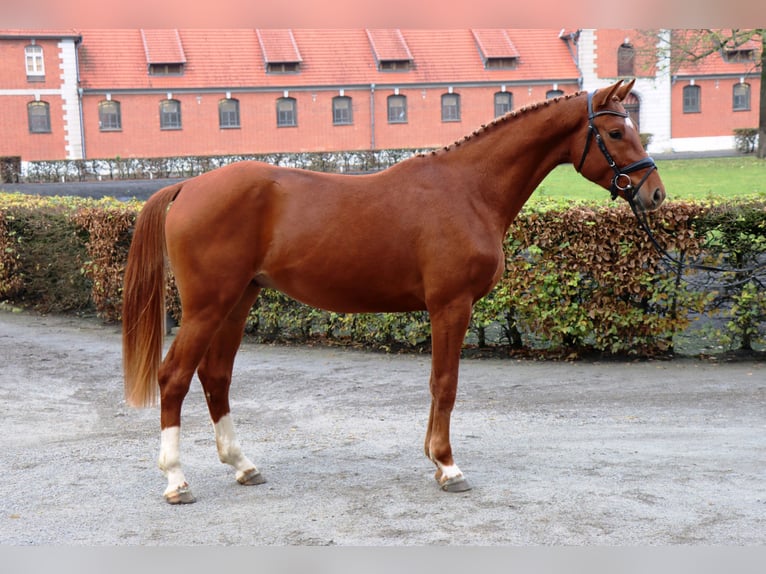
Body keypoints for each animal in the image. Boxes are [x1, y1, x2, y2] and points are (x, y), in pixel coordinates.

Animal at [121, 80, 664, 504]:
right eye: (616, 132)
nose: (655, 193)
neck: (468, 189)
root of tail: (188, 187)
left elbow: (437, 384)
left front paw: (434, 458)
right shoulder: (451, 306)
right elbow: (445, 383)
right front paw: (448, 466)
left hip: (238, 301)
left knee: (216, 377)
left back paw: (242, 465)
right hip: (207, 306)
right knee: (174, 377)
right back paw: (176, 480)